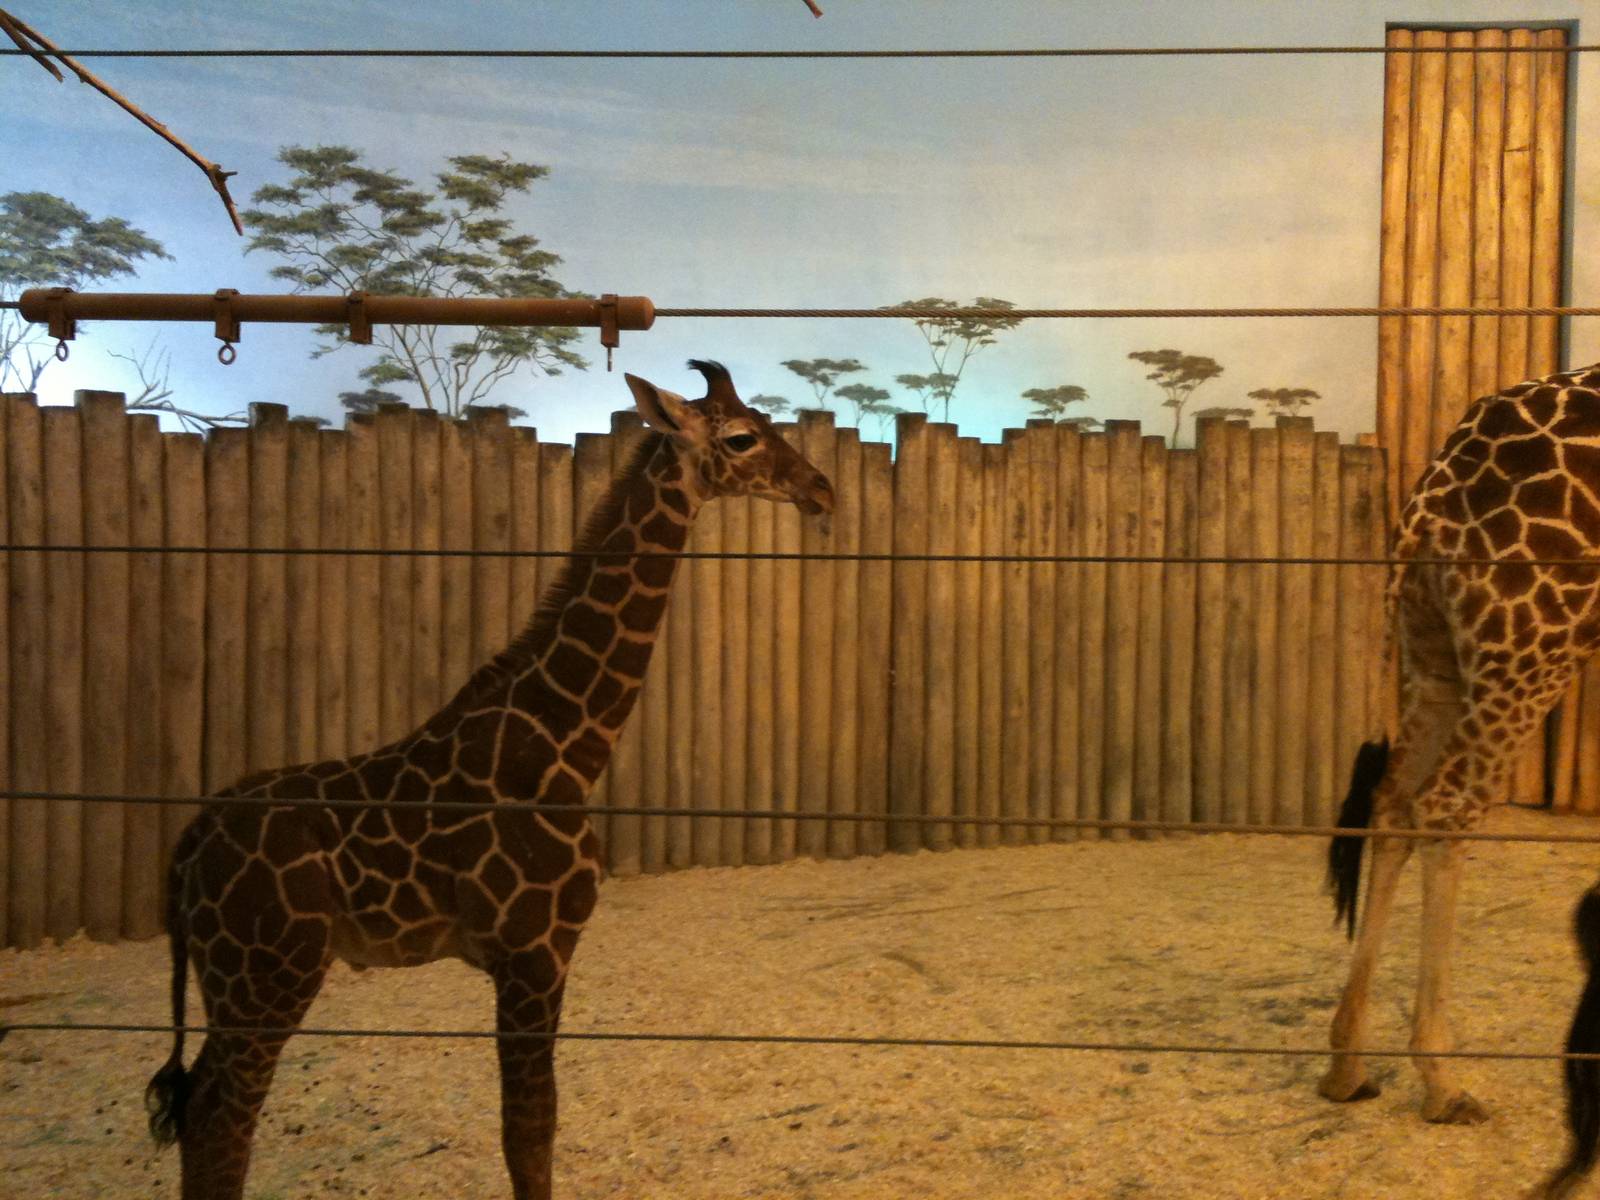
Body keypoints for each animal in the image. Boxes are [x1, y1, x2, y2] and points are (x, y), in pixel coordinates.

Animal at [142, 360, 834, 1200]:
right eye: (740, 437)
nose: (822, 490)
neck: (567, 745)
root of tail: (186, 849)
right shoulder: (534, 951)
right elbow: (529, 1134)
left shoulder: (525, 957)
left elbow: (527, 1132)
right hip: (268, 975)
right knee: (221, 1120)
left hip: (234, 983)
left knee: (201, 1115)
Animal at [1316, 361, 1600, 1153]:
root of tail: (1433, 501)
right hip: (1534, 644)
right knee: (1446, 803)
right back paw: (1441, 1081)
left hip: (1433, 643)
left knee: (1392, 798)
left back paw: (1347, 1064)